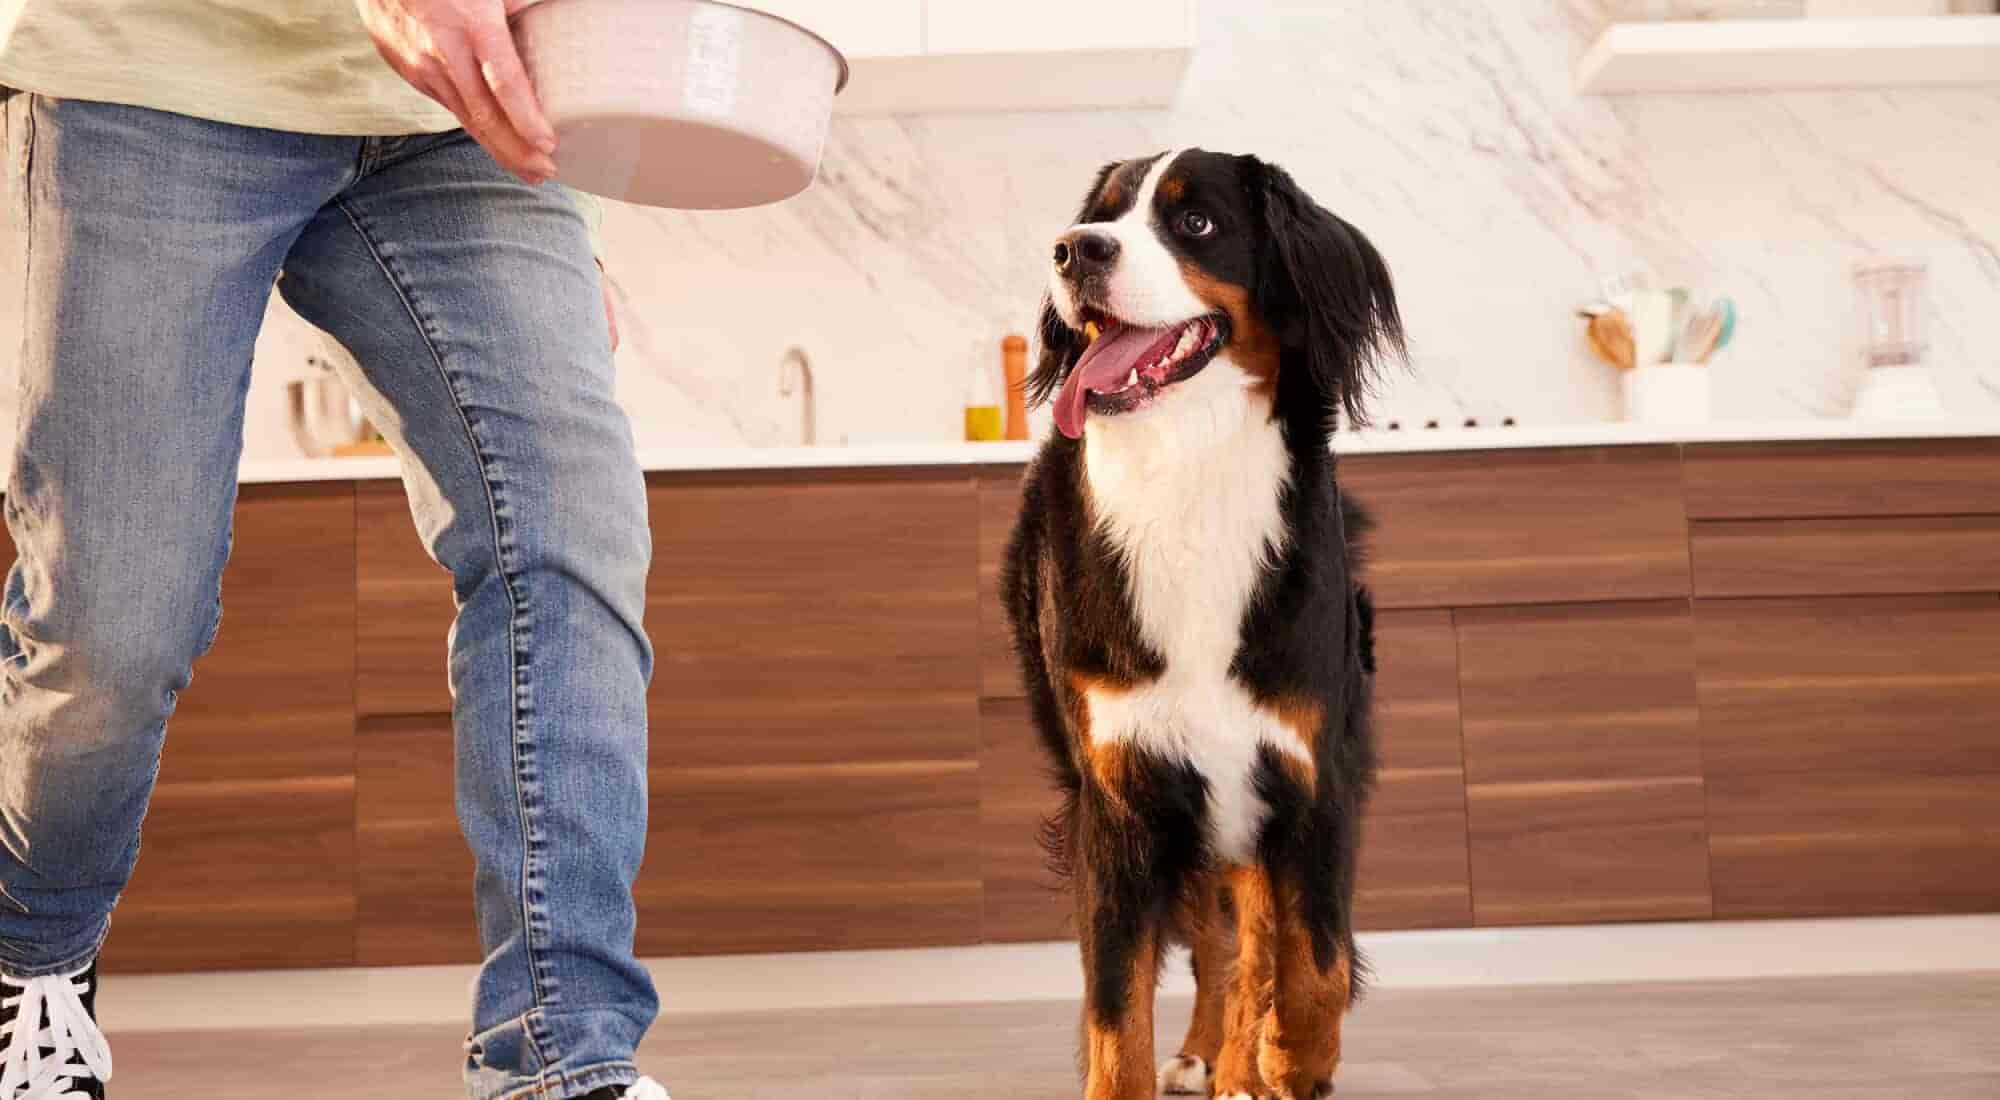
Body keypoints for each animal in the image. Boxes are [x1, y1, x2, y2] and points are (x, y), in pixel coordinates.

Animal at [1000, 149, 1408, 1100]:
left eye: (1196, 223)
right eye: (1105, 212)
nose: (1074, 250)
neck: (1185, 472)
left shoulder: (1310, 768)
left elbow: (1317, 960)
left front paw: (1292, 1054)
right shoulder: (1120, 792)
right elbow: (1117, 1012)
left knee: (1255, 932)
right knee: (1217, 936)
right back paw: (1213, 1051)